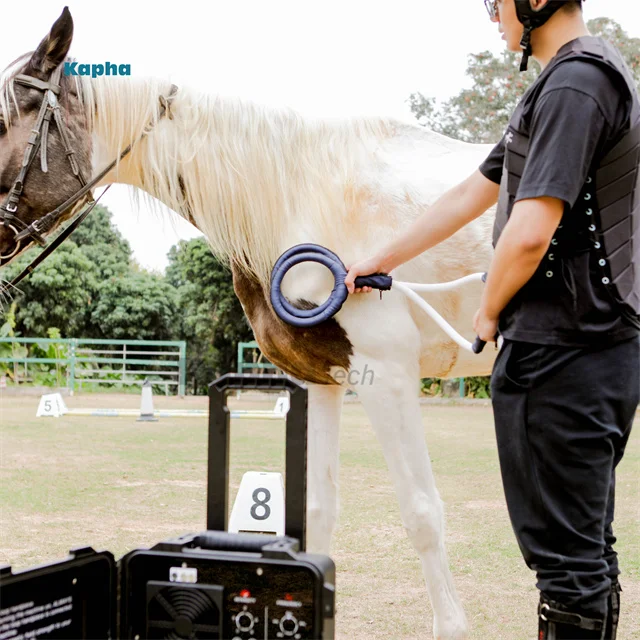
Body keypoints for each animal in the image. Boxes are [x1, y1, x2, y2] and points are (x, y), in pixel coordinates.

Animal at [0, 8, 500, 639]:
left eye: (0, 122)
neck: (301, 195)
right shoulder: (323, 382)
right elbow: (316, 510)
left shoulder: (386, 377)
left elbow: (422, 513)